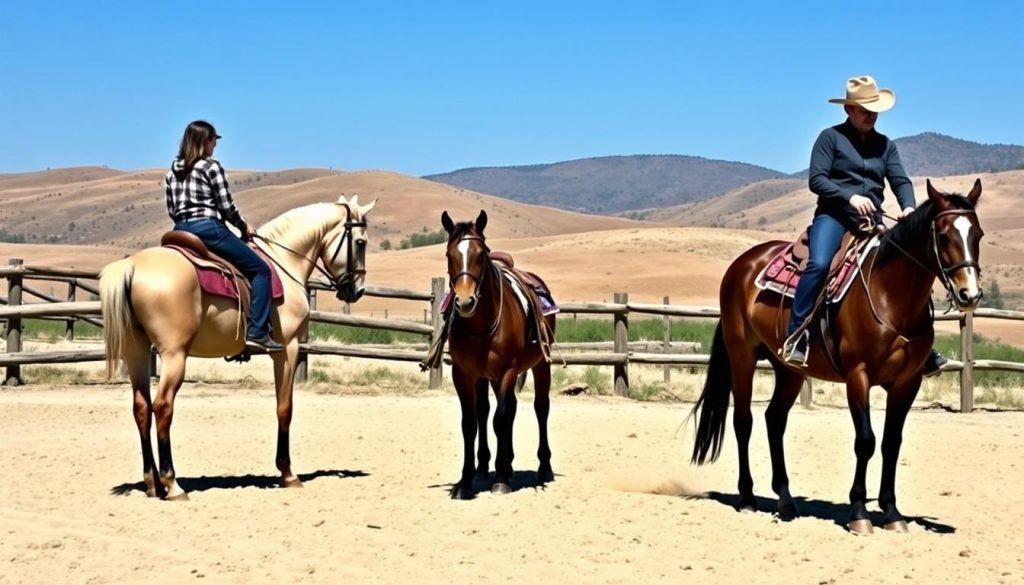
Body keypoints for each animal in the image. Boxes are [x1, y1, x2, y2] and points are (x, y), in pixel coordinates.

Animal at [99, 195, 375, 500]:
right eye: (360, 242)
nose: (357, 291)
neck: (283, 262)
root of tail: (133, 267)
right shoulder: (287, 349)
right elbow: (284, 408)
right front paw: (288, 473)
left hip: (136, 352)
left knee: (142, 409)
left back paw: (152, 484)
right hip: (174, 355)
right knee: (162, 407)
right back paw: (173, 485)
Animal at [440, 210, 557, 499]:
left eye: (481, 255)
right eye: (449, 255)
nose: (465, 301)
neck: (481, 324)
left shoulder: (507, 371)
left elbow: (501, 419)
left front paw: (502, 479)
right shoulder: (463, 373)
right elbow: (470, 423)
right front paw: (465, 481)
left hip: (541, 365)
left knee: (540, 408)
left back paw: (543, 467)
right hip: (486, 377)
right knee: (491, 411)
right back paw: (488, 467)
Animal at [689, 179, 984, 533]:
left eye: (978, 234)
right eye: (943, 235)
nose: (970, 294)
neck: (891, 296)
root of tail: (742, 265)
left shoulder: (906, 383)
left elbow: (891, 443)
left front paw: (892, 513)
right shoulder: (858, 376)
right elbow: (866, 441)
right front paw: (859, 514)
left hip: (789, 370)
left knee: (775, 420)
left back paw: (786, 500)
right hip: (741, 357)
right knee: (743, 421)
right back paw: (747, 498)